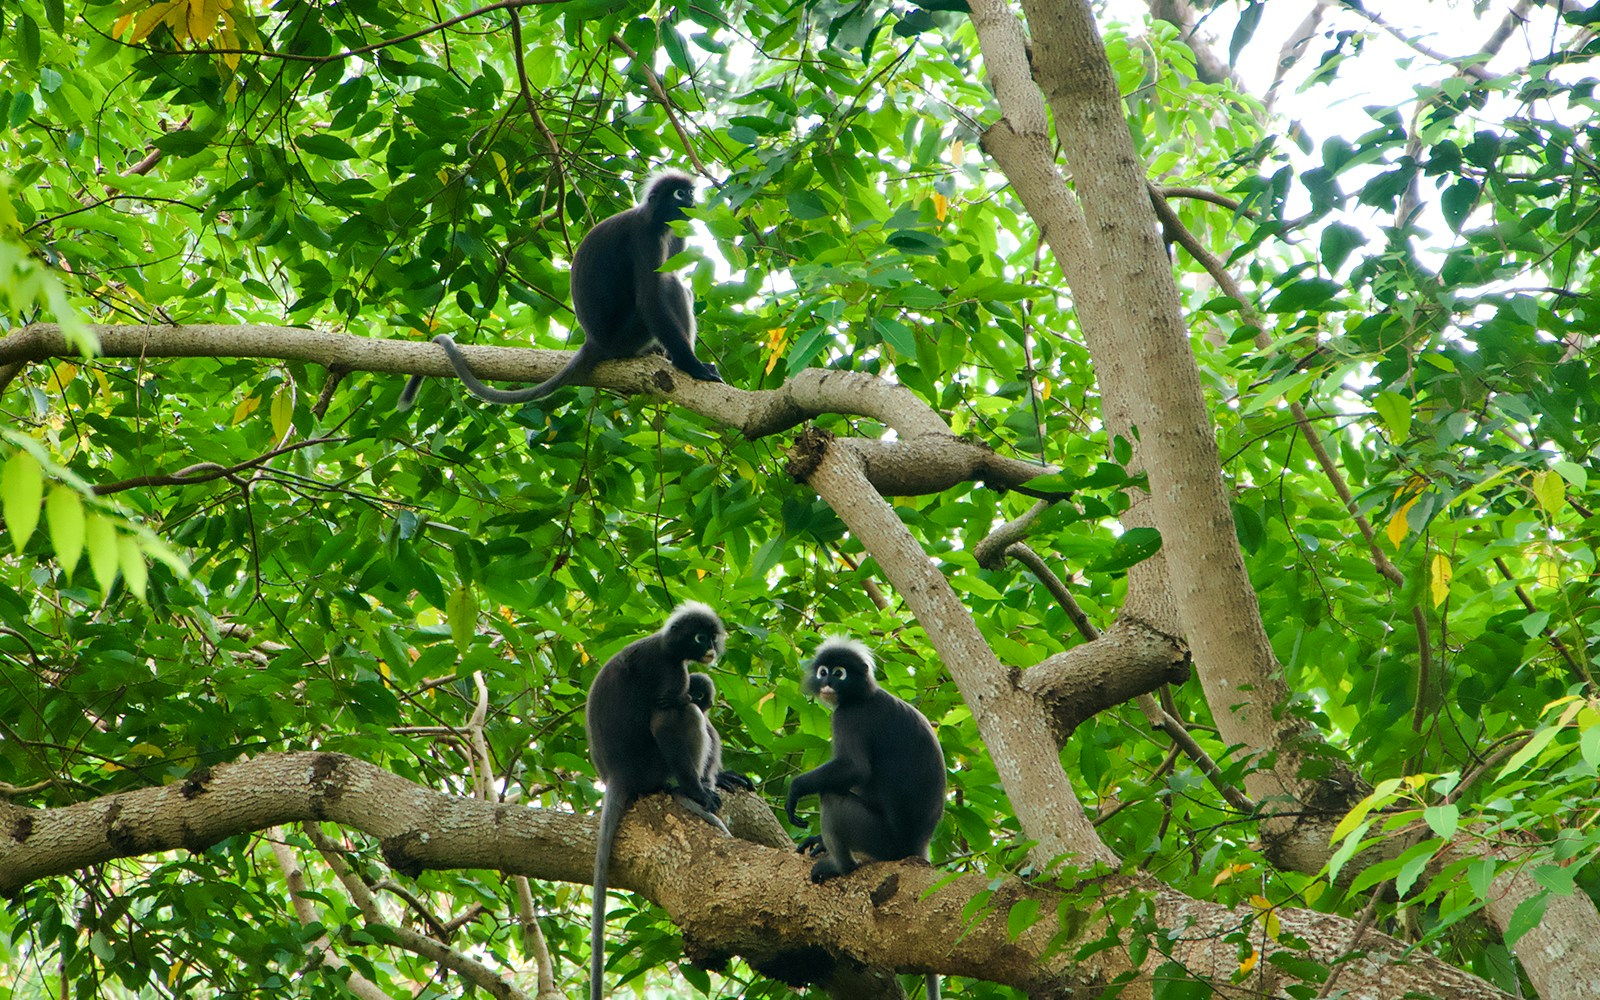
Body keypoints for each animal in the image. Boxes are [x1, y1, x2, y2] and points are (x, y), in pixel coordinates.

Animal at [398, 170, 722, 411]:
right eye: (680, 194)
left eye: (690, 193)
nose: (692, 201)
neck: (659, 223)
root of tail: (595, 341)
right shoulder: (645, 237)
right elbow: (650, 299)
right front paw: (691, 365)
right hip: (626, 336)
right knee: (671, 287)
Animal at [585, 601, 730, 1000]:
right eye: (700, 637)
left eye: (712, 637)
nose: (710, 649)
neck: (665, 646)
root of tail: (617, 773)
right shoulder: (671, 672)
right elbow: (666, 716)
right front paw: (697, 791)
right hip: (652, 764)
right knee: (680, 713)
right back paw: (688, 791)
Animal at [785, 637, 945, 999]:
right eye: (824, 671)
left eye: (840, 673)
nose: (829, 683)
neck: (864, 695)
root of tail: (918, 844)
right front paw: (816, 839)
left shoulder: (851, 717)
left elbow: (854, 768)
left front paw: (795, 789)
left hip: (879, 838)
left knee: (832, 797)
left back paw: (840, 866)